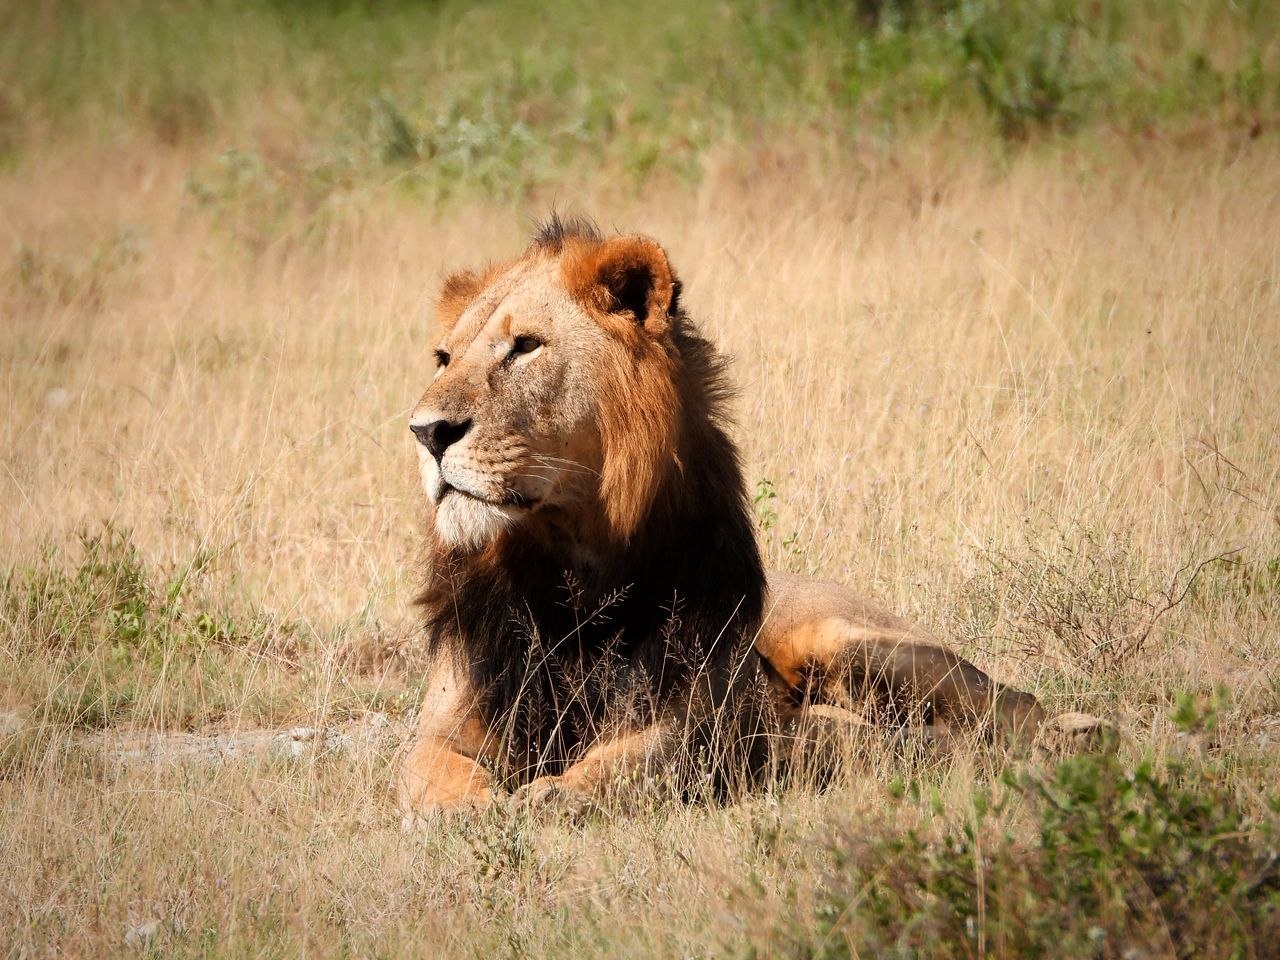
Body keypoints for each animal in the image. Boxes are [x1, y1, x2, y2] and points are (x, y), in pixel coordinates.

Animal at [399, 216, 1069, 816]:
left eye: (526, 346)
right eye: (444, 358)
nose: (426, 433)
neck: (567, 570)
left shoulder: (689, 718)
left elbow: (634, 762)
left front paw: (555, 795)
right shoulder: (448, 721)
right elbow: (430, 773)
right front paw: (473, 808)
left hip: (849, 641)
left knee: (1015, 704)